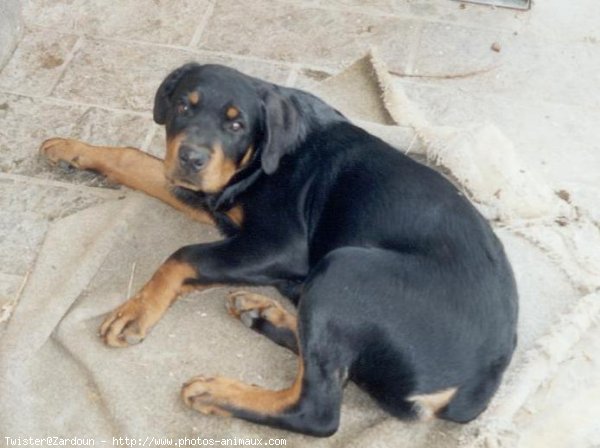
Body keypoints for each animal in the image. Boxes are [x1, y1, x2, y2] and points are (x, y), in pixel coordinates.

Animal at [39, 64, 516, 438]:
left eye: (236, 125)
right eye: (183, 106)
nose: (191, 157)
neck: (260, 159)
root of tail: (476, 386)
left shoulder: (280, 244)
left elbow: (184, 254)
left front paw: (135, 312)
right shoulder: (214, 198)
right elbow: (135, 160)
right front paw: (71, 149)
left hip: (344, 266)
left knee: (317, 409)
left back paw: (219, 391)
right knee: (329, 361)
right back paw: (263, 313)